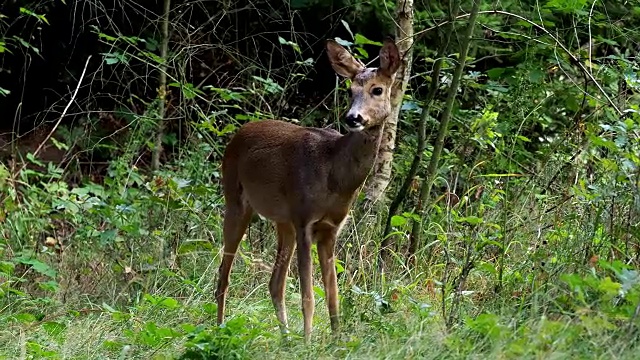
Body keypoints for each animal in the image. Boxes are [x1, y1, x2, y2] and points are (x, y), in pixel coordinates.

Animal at [219, 38, 400, 342]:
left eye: (377, 89)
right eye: (349, 90)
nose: (353, 118)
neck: (336, 177)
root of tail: (237, 135)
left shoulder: (330, 229)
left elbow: (333, 294)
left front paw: (336, 341)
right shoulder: (305, 219)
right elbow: (308, 295)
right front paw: (308, 341)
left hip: (283, 221)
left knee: (275, 282)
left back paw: (285, 339)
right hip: (236, 201)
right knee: (224, 274)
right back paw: (219, 329)